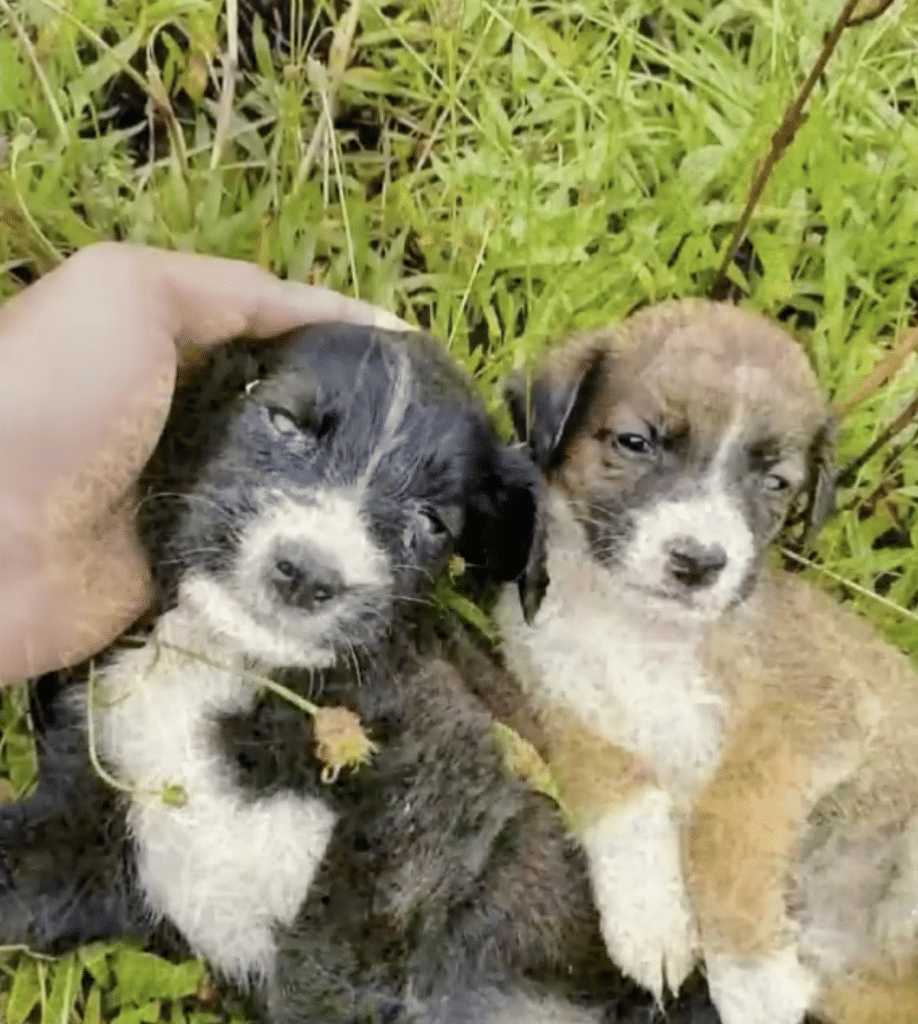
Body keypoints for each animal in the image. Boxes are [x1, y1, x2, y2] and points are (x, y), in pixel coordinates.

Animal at [0, 321, 722, 1024]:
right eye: (283, 421)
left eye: (430, 522)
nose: (309, 573)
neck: (220, 659)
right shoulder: (87, 823)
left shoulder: (442, 772)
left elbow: (331, 962)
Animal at [495, 298, 918, 1024]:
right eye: (635, 442)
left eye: (776, 483)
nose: (697, 563)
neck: (641, 627)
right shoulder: (564, 706)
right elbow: (623, 797)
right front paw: (649, 921)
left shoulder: (809, 721)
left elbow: (724, 821)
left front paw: (754, 981)